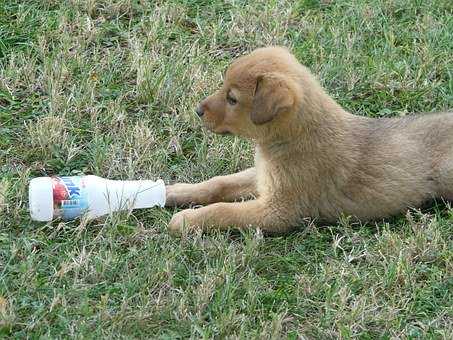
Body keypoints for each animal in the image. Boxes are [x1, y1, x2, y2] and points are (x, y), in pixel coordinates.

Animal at [165, 46, 452, 235]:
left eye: (232, 99)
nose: (198, 110)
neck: (294, 137)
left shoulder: (278, 210)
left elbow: (224, 210)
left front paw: (187, 220)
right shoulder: (263, 177)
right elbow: (218, 183)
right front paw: (174, 191)